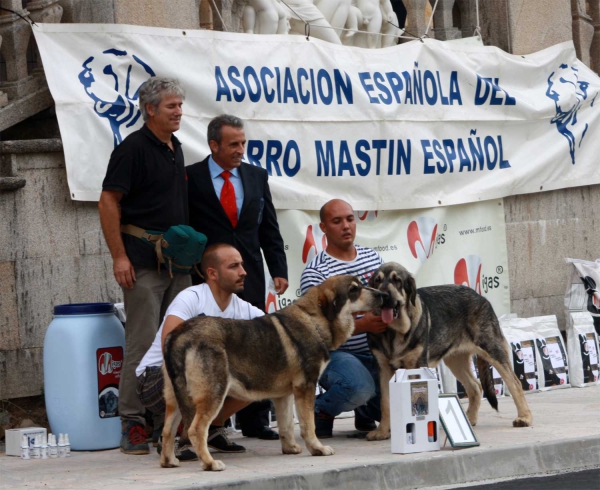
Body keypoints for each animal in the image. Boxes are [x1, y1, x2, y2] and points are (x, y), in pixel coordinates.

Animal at [366, 262, 536, 442]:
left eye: (397, 280)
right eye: (377, 281)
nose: (384, 295)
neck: (393, 332)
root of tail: (479, 296)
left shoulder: (417, 366)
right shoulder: (384, 369)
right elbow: (385, 402)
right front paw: (383, 431)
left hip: (493, 350)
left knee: (515, 383)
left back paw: (524, 417)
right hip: (455, 361)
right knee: (475, 386)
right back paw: (468, 420)